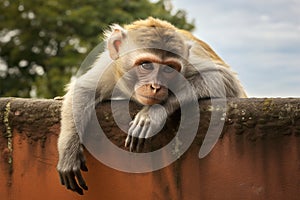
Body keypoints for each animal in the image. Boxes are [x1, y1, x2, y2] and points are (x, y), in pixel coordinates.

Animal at [56, 16, 246, 195]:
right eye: (146, 65)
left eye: (169, 69)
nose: (155, 86)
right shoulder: (110, 66)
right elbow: (84, 88)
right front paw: (68, 150)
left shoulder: (191, 62)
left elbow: (224, 79)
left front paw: (150, 116)